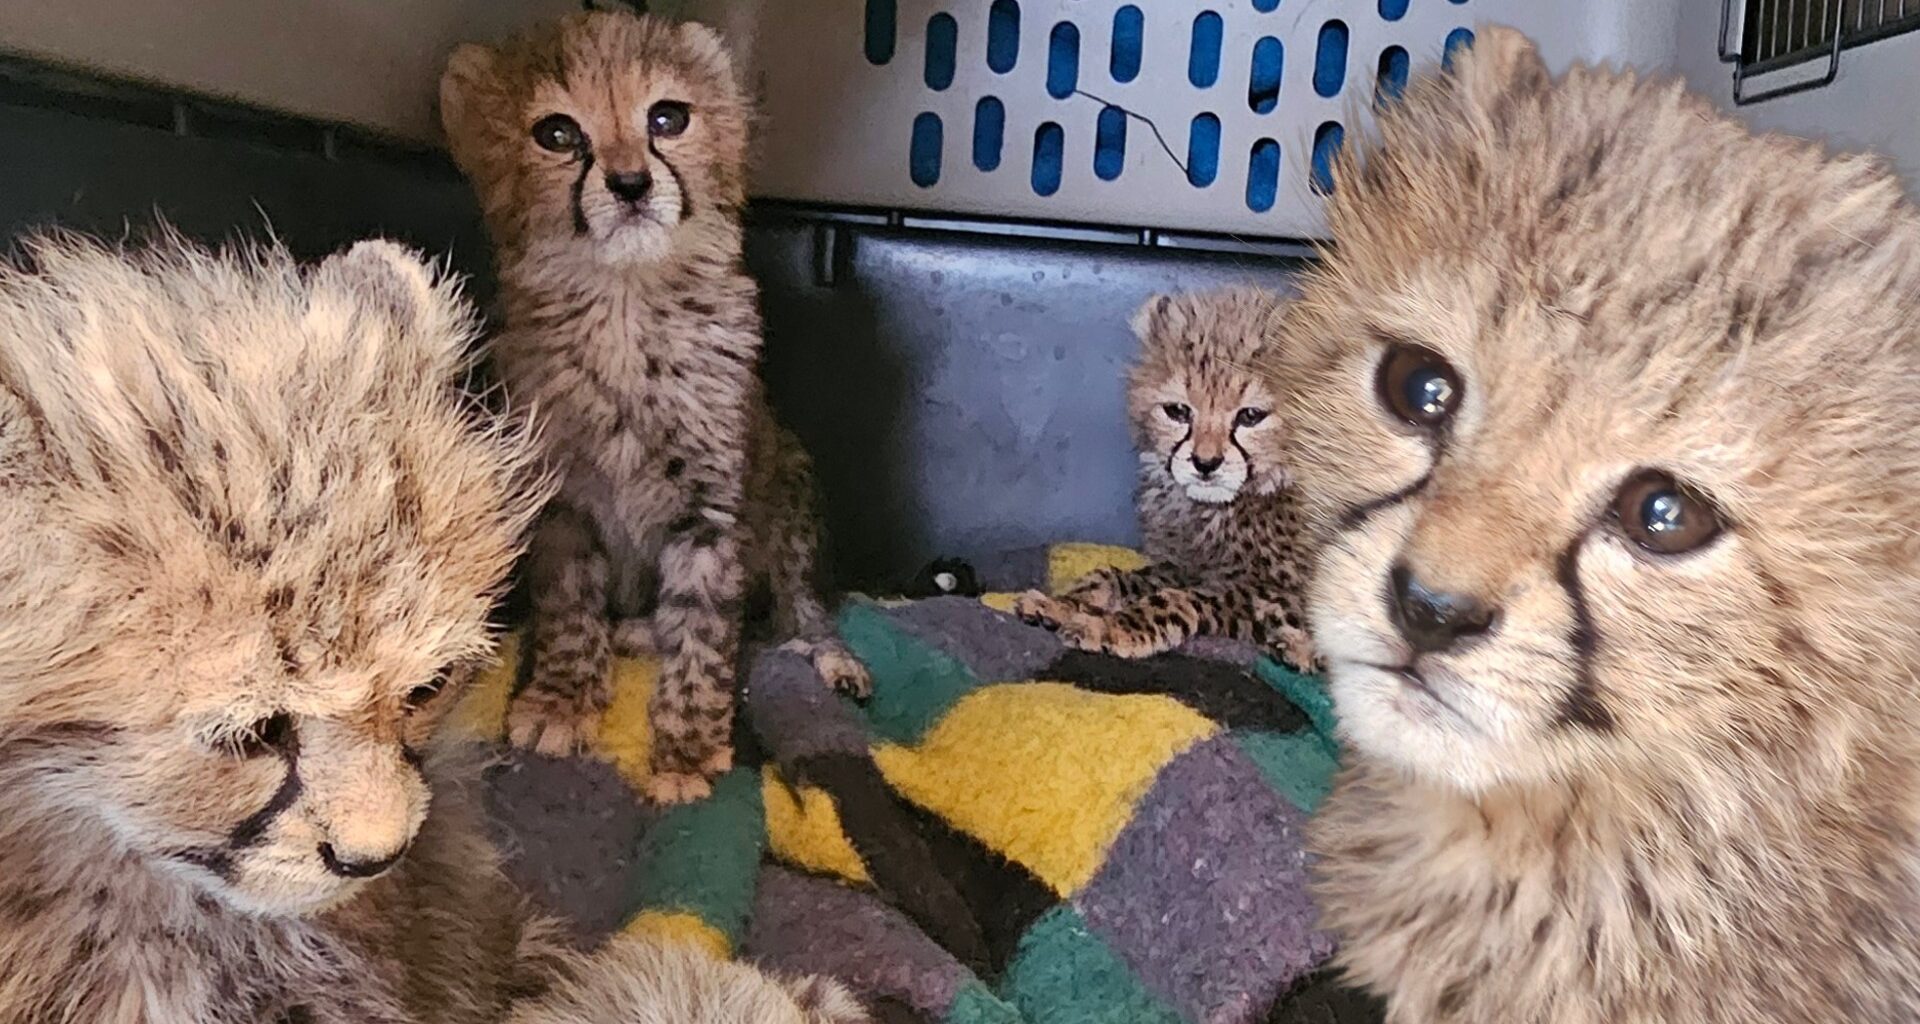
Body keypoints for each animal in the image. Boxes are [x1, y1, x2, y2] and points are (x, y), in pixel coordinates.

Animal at [439, 10, 868, 805]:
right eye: (556, 133)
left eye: (668, 118)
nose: (631, 184)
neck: (625, 303)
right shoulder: (562, 505)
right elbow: (571, 609)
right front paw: (564, 699)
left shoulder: (711, 511)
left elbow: (704, 631)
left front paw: (687, 750)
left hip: (792, 490)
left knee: (797, 609)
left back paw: (832, 657)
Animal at [1016, 287, 1320, 672]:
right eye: (1178, 411)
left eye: (1251, 416)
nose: (1206, 463)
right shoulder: (1183, 564)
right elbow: (1120, 578)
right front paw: (1061, 604)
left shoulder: (1281, 595)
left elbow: (1180, 599)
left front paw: (1109, 626)